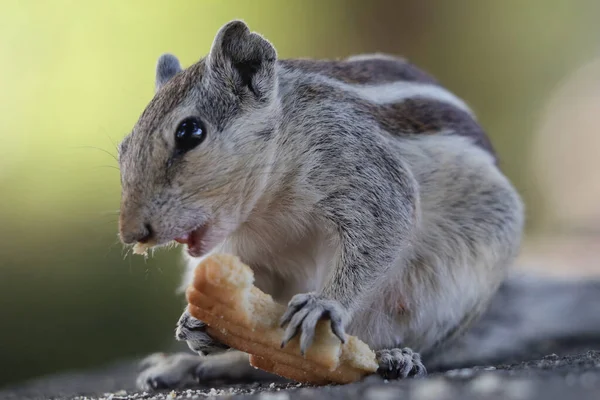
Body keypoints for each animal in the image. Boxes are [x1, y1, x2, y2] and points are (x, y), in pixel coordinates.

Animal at [116, 19, 600, 390]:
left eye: (190, 133)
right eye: (123, 148)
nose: (131, 233)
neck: (263, 210)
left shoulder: (363, 170)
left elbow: (381, 229)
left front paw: (324, 304)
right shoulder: (246, 254)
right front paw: (196, 328)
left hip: (440, 295)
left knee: (405, 342)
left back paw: (397, 358)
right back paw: (194, 364)